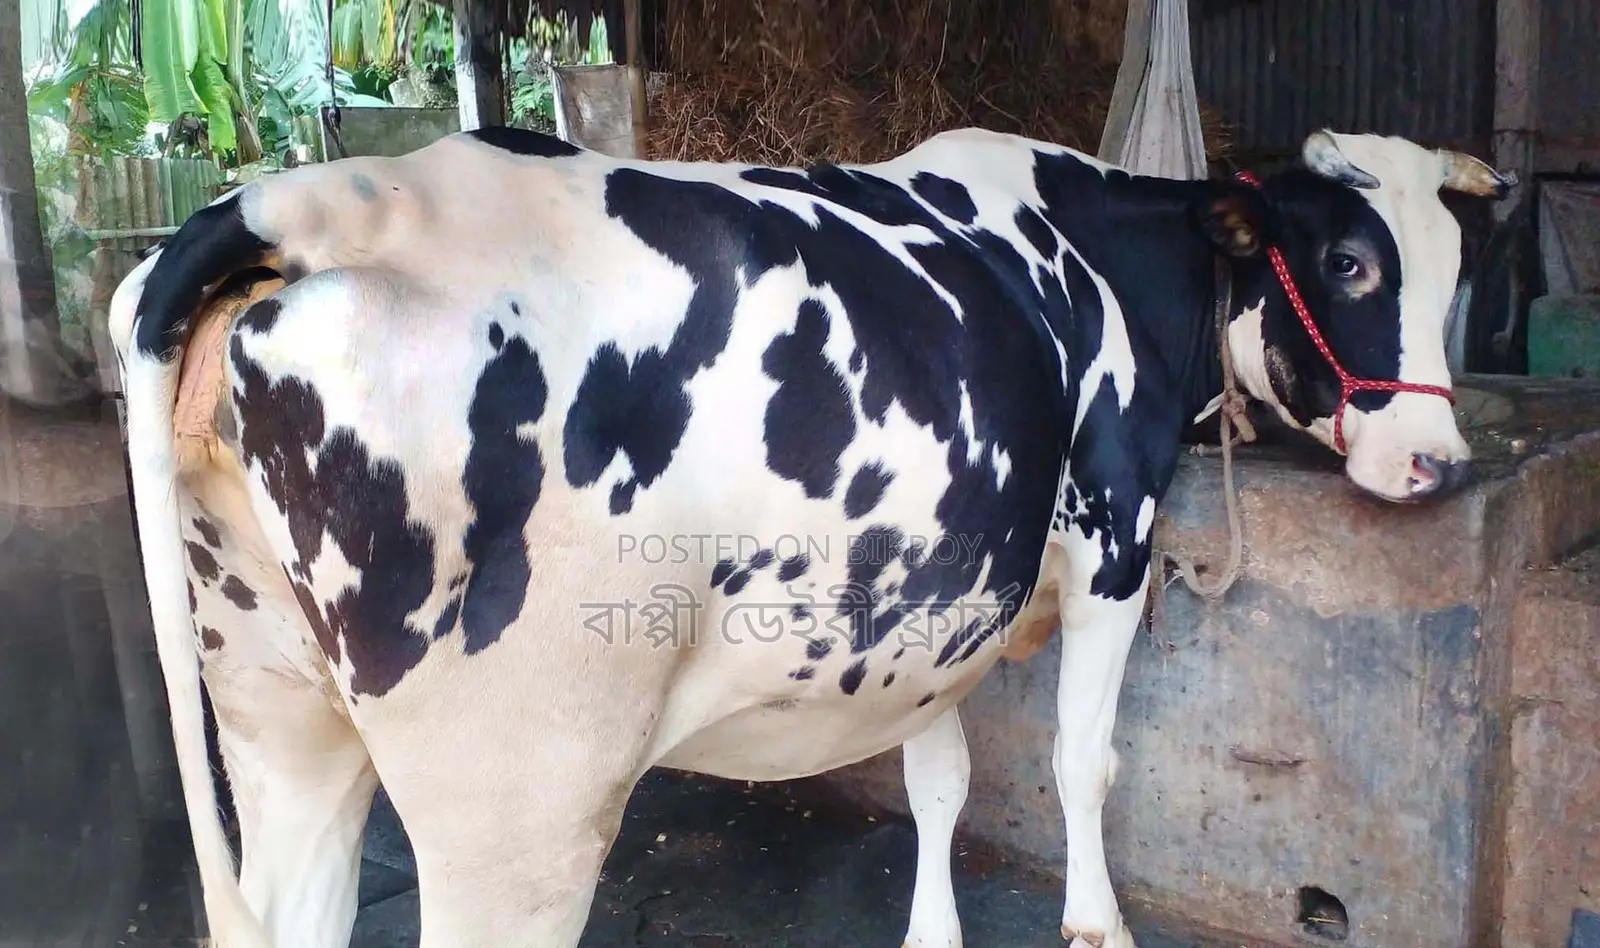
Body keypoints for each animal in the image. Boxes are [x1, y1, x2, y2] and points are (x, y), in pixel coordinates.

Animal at [107, 124, 1513, 948]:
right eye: (1347, 264)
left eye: (1459, 272)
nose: (1437, 461)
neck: (1100, 254)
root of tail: (308, 203)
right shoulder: (1113, 533)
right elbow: (1081, 761)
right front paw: (1096, 925)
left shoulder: (940, 591)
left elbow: (937, 776)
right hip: (515, 802)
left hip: (276, 706)